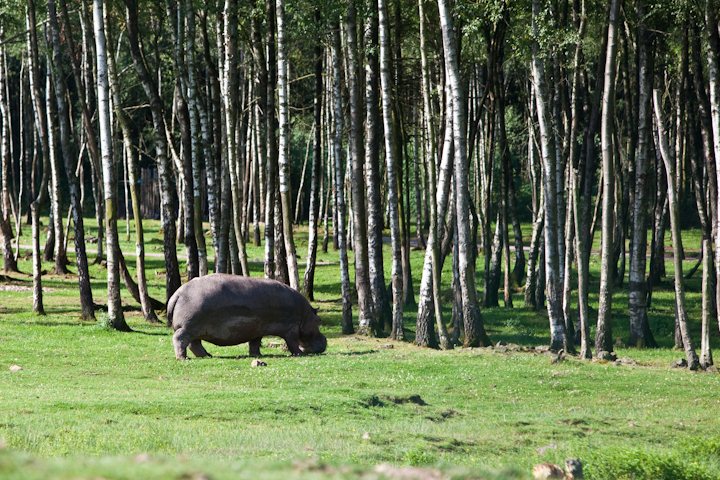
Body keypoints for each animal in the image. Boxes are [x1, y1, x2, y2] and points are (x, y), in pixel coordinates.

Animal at [167, 274, 327, 359]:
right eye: (319, 320)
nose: (325, 341)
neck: (306, 315)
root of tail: (177, 293)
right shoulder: (291, 328)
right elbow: (292, 342)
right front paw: (300, 354)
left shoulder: (258, 329)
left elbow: (254, 343)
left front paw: (257, 356)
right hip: (188, 327)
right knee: (180, 340)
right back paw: (183, 358)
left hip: (195, 329)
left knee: (195, 344)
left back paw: (208, 355)